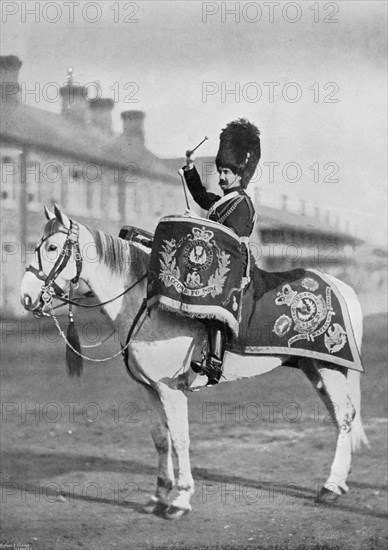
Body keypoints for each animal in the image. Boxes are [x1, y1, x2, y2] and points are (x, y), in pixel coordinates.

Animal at [20, 207, 366, 520]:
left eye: (52, 248)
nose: (26, 297)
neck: (145, 305)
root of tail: (343, 288)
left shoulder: (171, 390)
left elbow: (180, 438)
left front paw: (180, 499)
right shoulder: (149, 388)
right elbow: (161, 439)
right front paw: (159, 495)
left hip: (330, 368)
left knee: (345, 417)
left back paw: (330, 487)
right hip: (315, 369)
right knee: (339, 417)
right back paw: (339, 483)